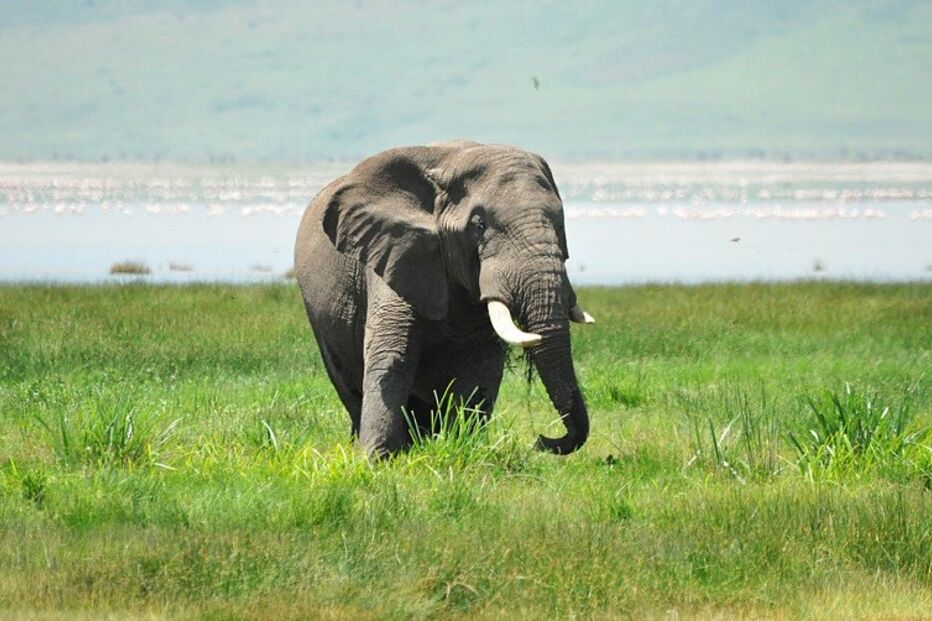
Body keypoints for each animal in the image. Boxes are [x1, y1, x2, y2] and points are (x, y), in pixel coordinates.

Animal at [294, 140, 595, 457]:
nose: (541, 440)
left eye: (561, 223)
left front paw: (458, 445)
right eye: (478, 225)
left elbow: (482, 366)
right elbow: (393, 354)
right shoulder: (395, 251)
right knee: (347, 383)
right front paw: (377, 458)